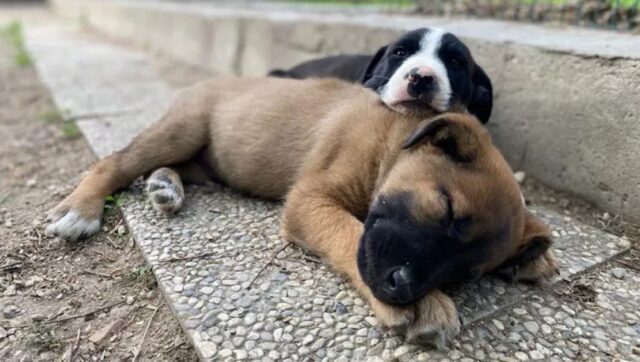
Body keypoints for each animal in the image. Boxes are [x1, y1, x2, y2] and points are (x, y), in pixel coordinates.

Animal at [46, 78, 556, 346]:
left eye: (467, 274)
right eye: (446, 208)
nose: (403, 287)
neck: (392, 142)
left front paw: (538, 257)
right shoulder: (311, 200)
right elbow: (349, 234)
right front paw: (423, 306)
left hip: (207, 159)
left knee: (176, 168)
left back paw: (166, 186)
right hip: (182, 128)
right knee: (116, 161)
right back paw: (82, 209)